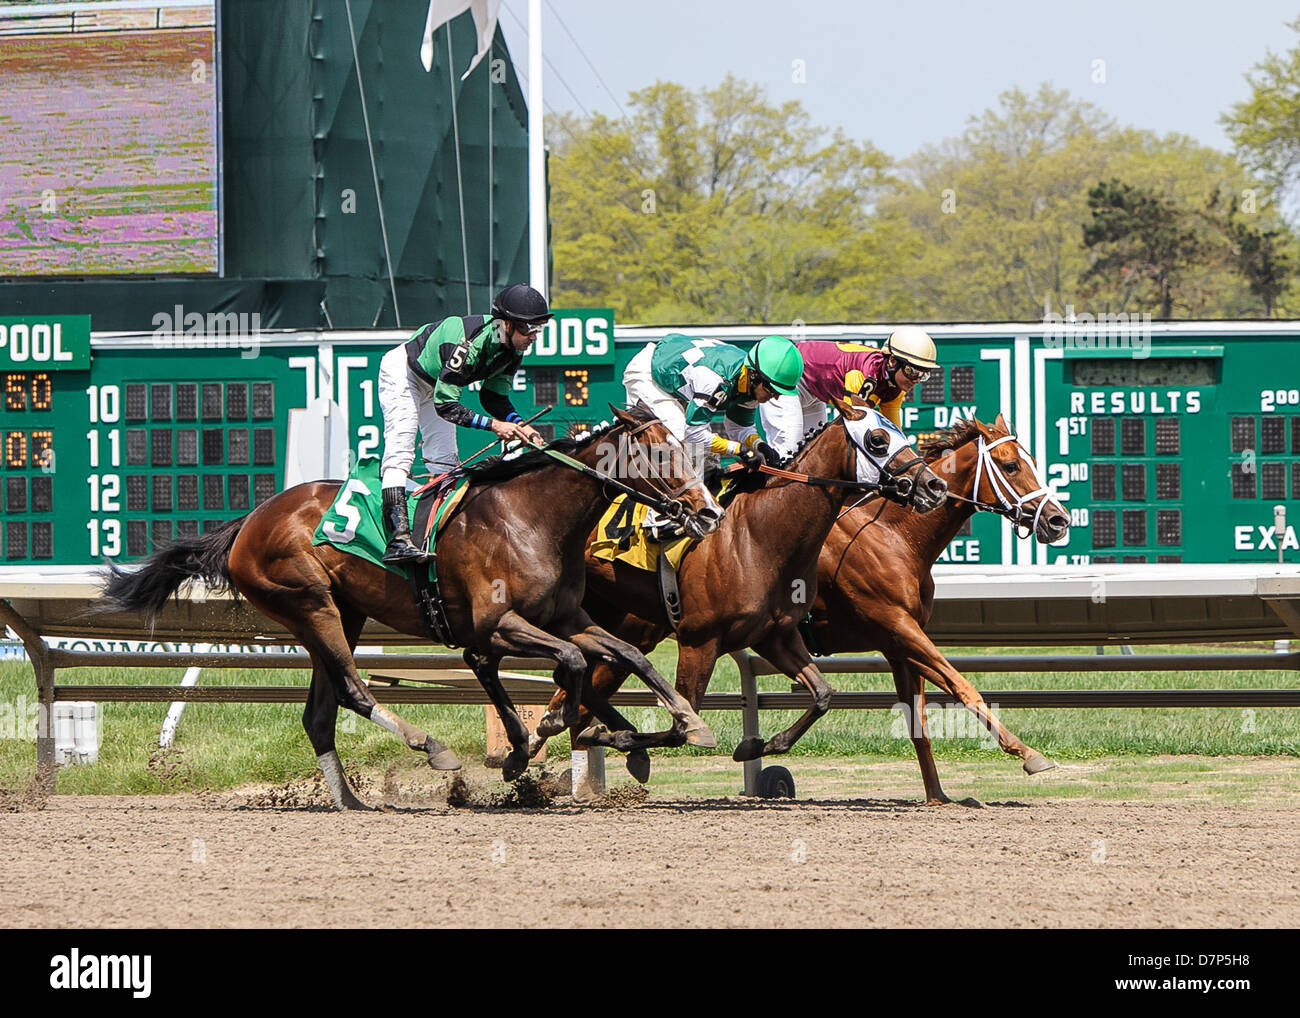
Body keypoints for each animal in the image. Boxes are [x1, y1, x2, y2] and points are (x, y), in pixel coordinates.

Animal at [102, 403, 728, 806]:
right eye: (657, 453)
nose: (709, 512)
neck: (533, 517)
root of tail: (248, 522)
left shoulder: (565, 618)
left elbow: (628, 654)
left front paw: (687, 722)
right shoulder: (496, 625)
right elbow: (569, 665)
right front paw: (550, 734)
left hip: (342, 613)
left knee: (320, 713)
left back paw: (351, 801)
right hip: (310, 604)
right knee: (354, 690)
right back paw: (431, 748)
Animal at [530, 400, 956, 774]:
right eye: (878, 440)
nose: (935, 486)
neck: (760, 536)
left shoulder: (775, 635)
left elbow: (823, 695)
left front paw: (756, 745)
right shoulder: (698, 640)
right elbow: (681, 723)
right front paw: (616, 738)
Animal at [806, 413, 1071, 806]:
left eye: (1035, 462)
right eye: (1011, 465)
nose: (1059, 520)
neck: (891, 537)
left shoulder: (898, 642)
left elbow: (921, 719)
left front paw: (936, 796)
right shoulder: (898, 627)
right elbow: (963, 686)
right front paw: (1029, 754)